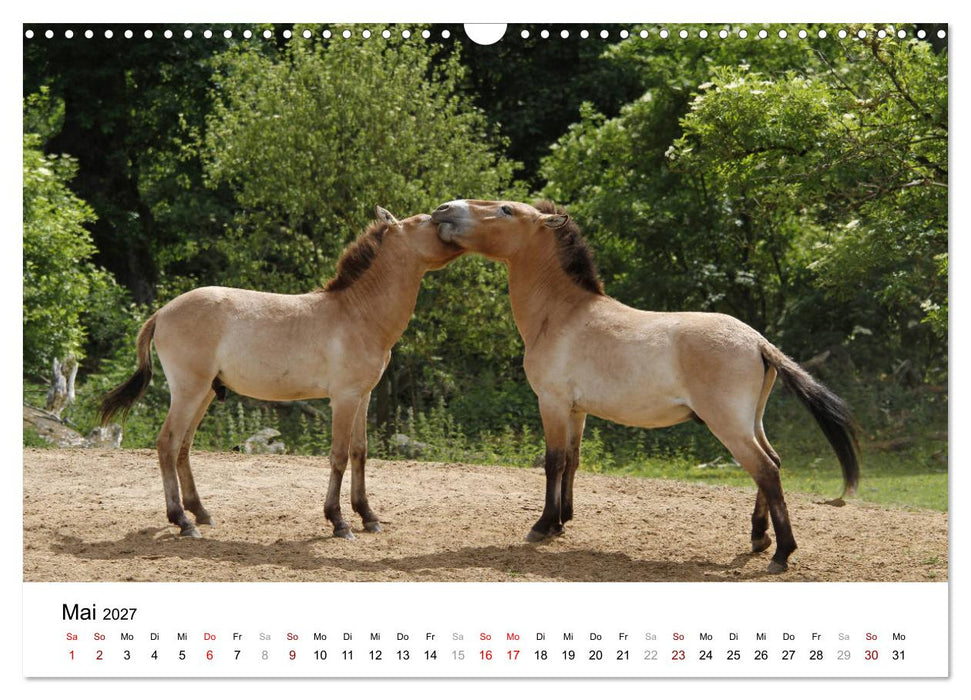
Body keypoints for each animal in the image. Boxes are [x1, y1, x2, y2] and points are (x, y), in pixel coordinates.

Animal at [99, 207, 464, 540]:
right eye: (426, 221)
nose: (452, 224)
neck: (357, 312)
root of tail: (161, 313)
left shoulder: (363, 396)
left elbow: (359, 453)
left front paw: (368, 516)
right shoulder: (344, 399)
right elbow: (339, 456)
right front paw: (339, 521)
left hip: (203, 394)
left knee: (183, 448)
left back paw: (200, 513)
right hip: (189, 391)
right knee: (168, 444)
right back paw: (182, 521)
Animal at [432, 199, 859, 573]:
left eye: (505, 209)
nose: (443, 210)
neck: (561, 315)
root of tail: (758, 342)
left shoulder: (551, 403)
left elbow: (553, 462)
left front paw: (542, 526)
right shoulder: (576, 410)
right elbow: (572, 460)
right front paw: (562, 521)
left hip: (729, 426)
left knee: (766, 470)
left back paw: (781, 554)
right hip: (751, 421)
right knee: (772, 463)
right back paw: (759, 539)